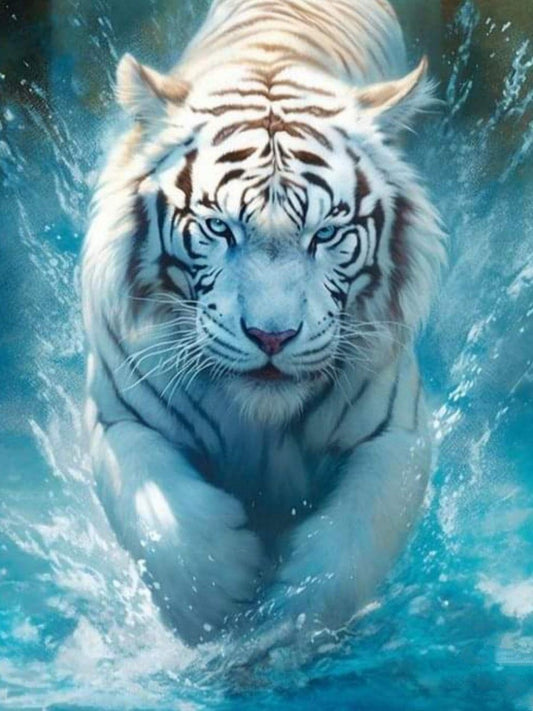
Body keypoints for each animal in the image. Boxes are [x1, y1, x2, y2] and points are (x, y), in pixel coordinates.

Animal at [82, 0, 445, 647]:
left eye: (325, 234)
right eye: (219, 228)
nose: (272, 336)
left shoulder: (395, 434)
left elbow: (349, 552)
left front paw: (293, 622)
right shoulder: (120, 416)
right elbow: (163, 524)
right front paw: (217, 599)